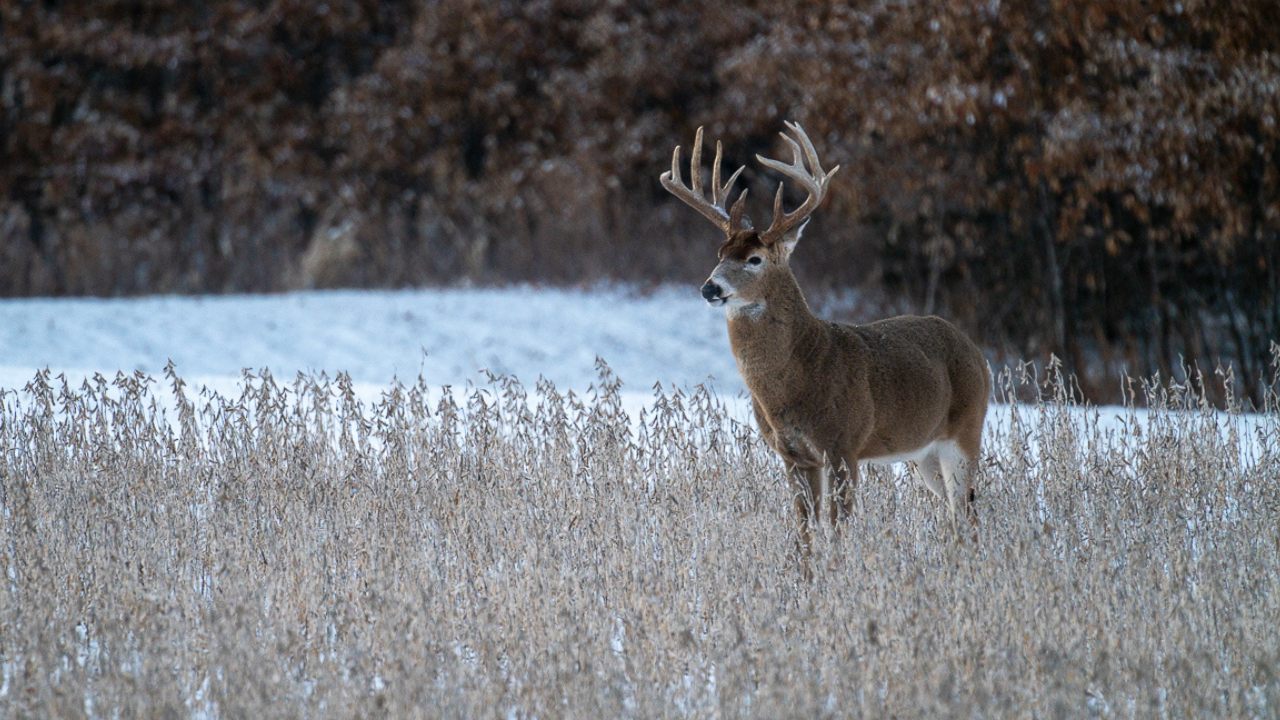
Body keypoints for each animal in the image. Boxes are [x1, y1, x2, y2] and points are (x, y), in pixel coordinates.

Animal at [660, 121, 990, 560]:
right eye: (720, 253)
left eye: (754, 259)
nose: (709, 288)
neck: (798, 377)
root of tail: (976, 351)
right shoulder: (794, 455)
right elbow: (805, 532)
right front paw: (807, 574)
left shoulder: (843, 443)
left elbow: (837, 530)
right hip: (925, 453)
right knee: (956, 514)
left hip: (965, 431)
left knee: (967, 512)